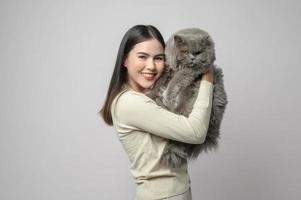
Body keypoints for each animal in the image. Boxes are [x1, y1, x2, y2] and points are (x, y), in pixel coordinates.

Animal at [145, 27, 227, 168]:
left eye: (198, 52)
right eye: (185, 51)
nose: (193, 58)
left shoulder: (189, 72)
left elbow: (175, 82)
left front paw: (167, 97)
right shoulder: (168, 67)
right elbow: (159, 82)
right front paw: (150, 93)